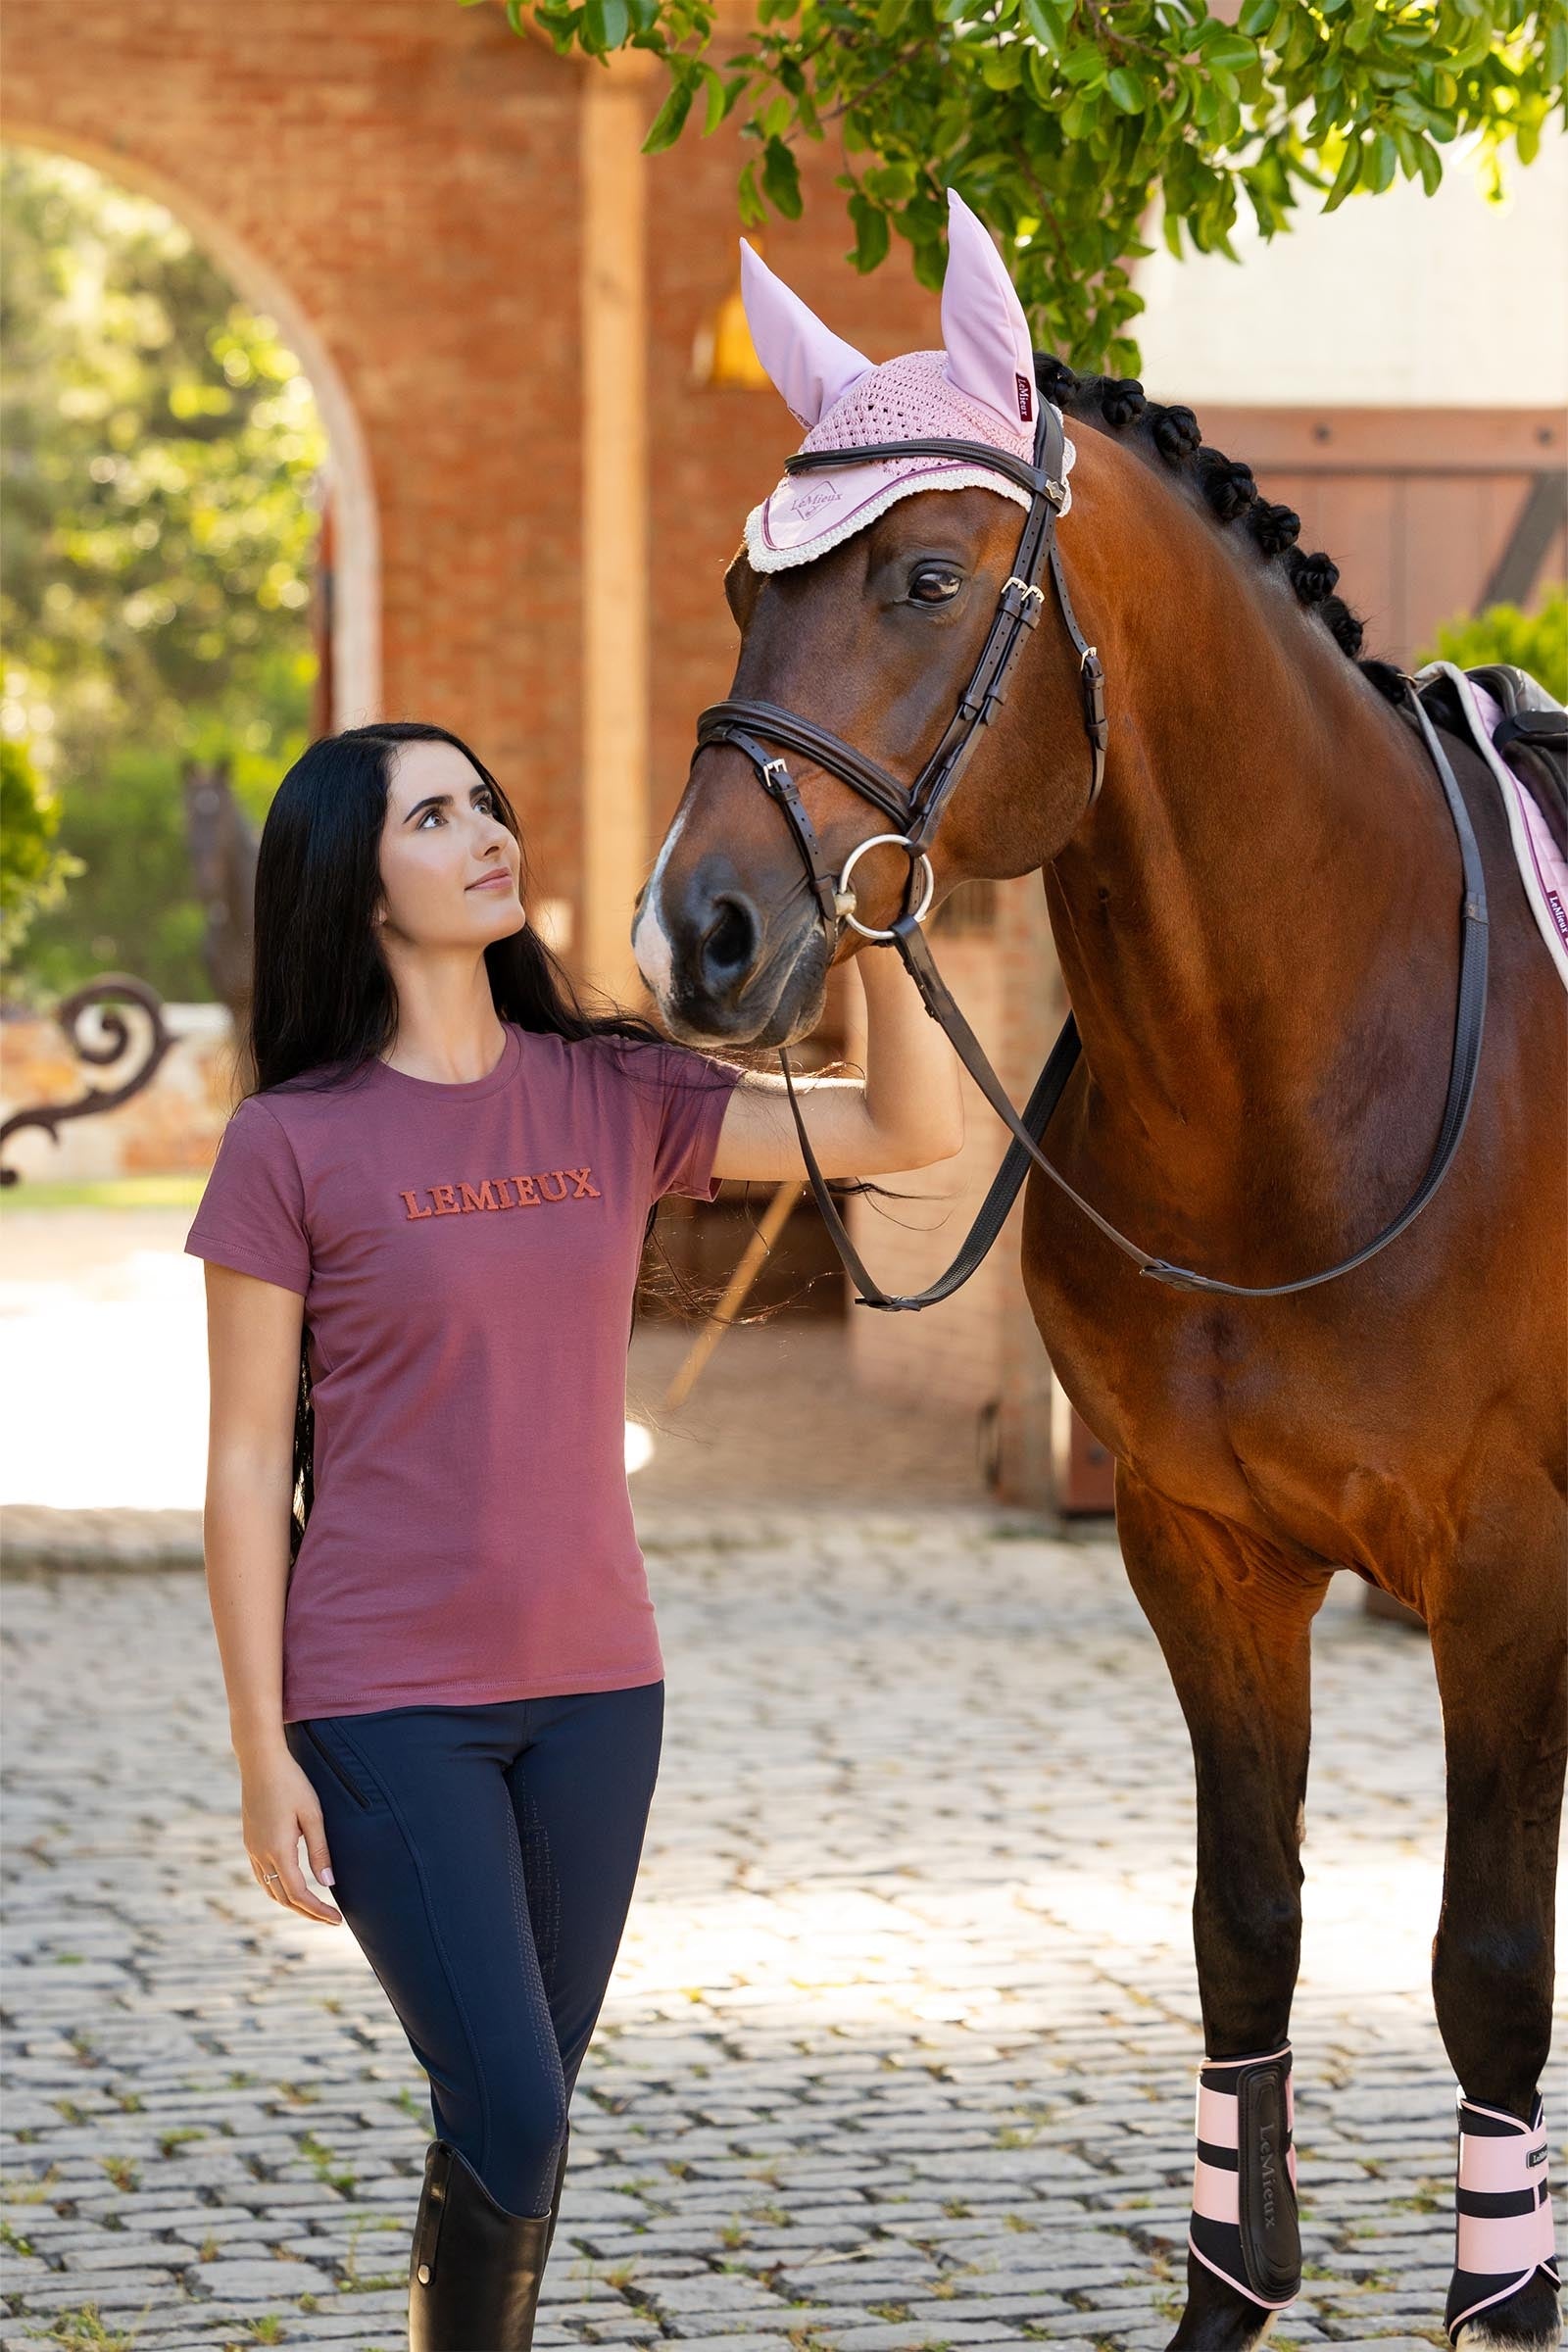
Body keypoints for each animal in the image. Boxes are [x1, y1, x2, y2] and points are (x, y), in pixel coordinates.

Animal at [631, 191, 1565, 2351]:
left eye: (922, 575)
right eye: (736, 583)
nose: (695, 935)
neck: (1293, 1071)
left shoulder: (1505, 1562)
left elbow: (1487, 1970)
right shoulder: (1196, 1545)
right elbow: (1243, 1929)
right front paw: (1232, 2283)